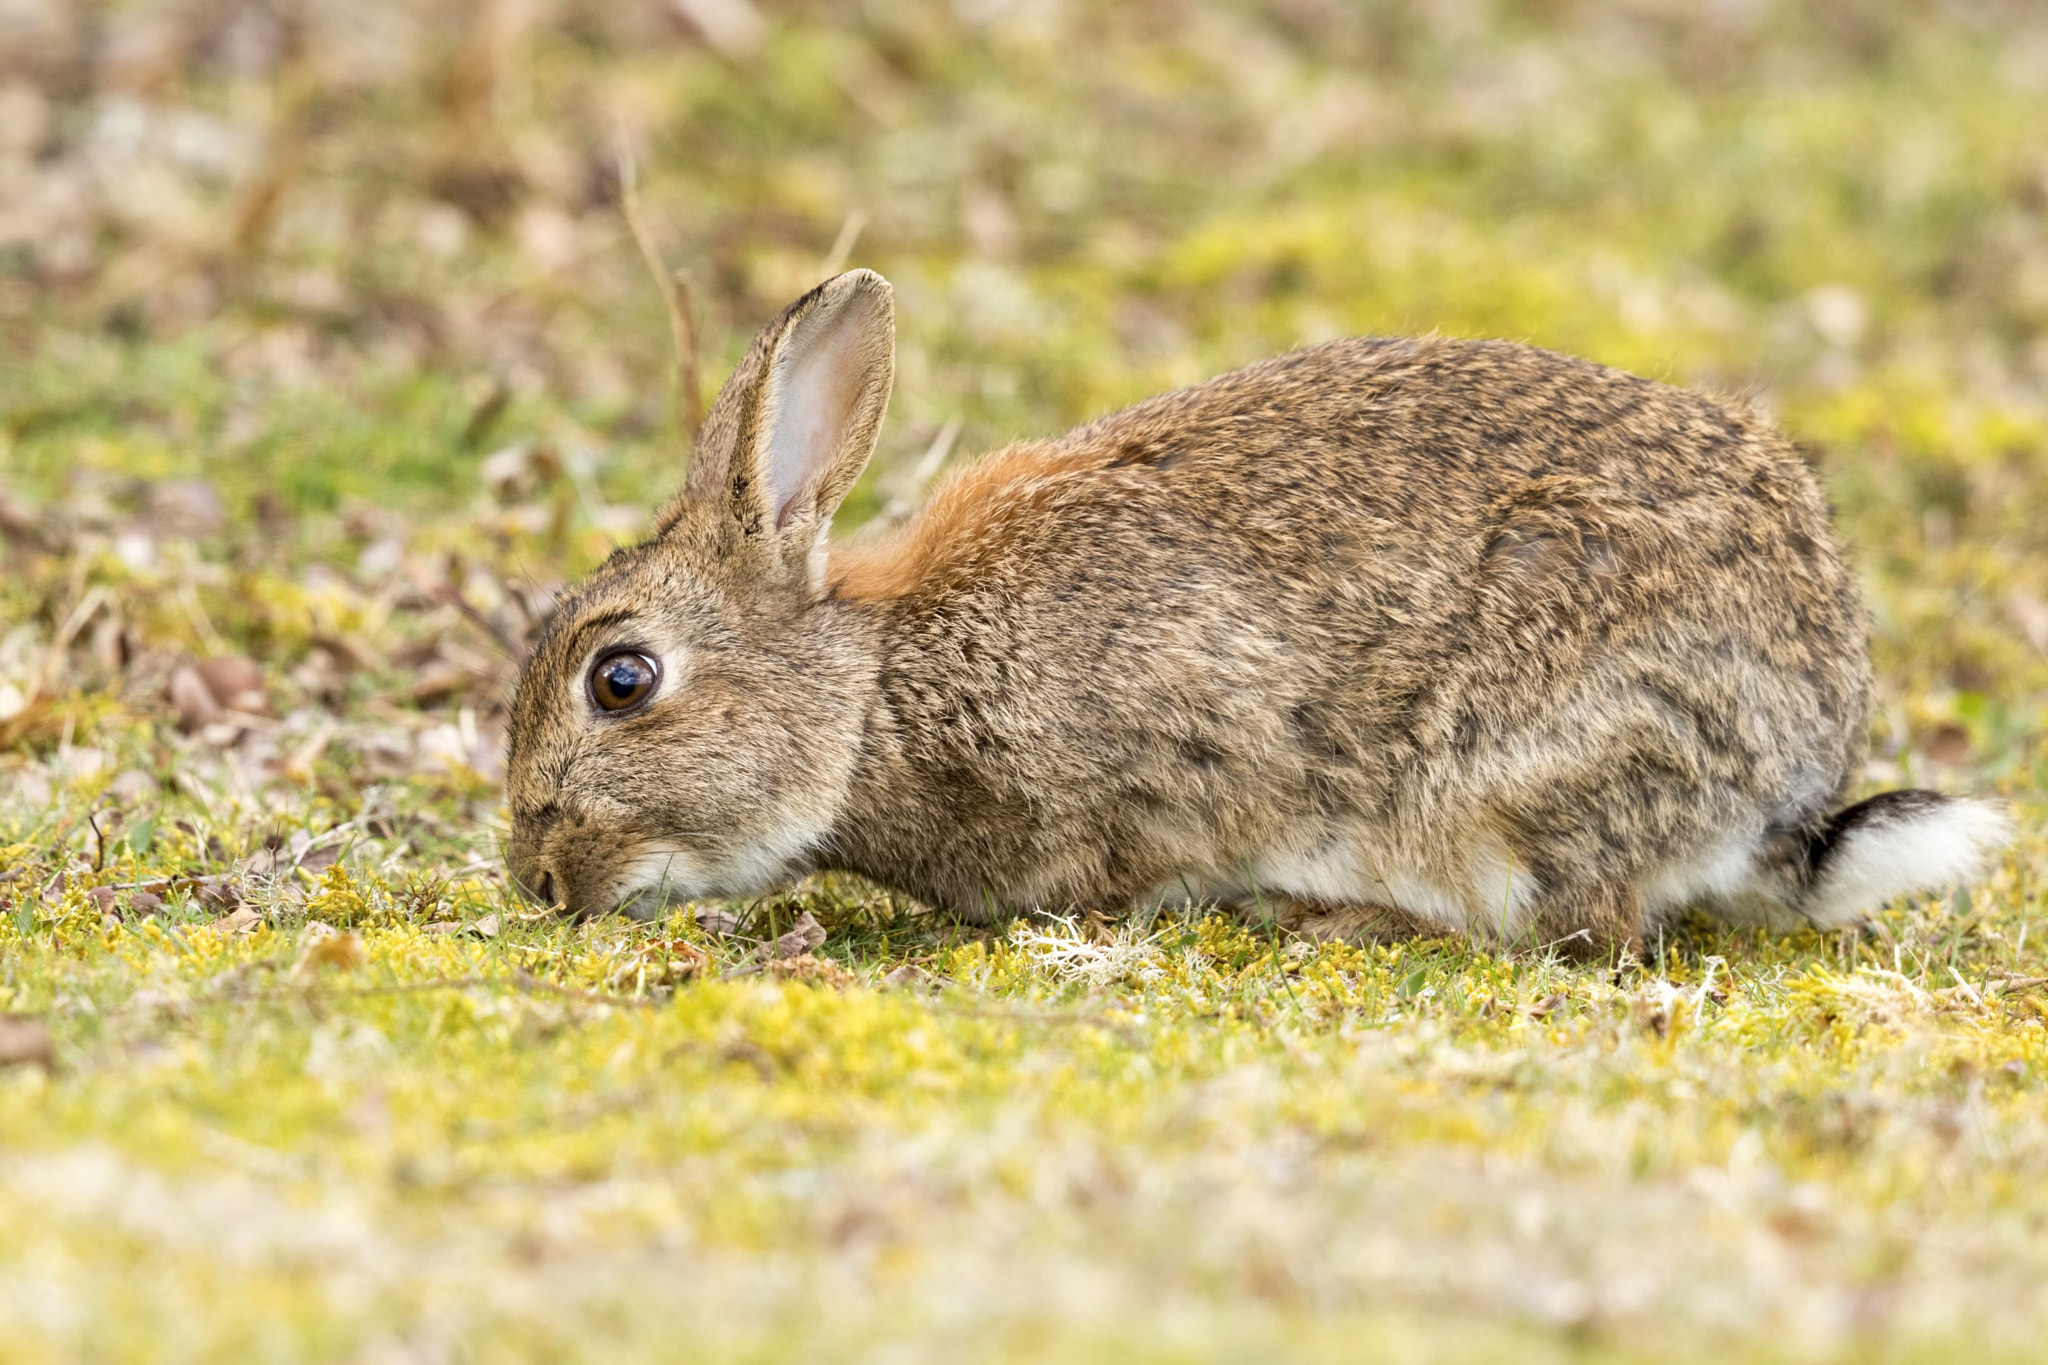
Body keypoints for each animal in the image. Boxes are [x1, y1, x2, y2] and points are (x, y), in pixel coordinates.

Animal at [504, 268, 2011, 958]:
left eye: (622, 680)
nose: (536, 881)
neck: (878, 691)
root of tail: (1787, 795)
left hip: (1518, 767)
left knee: (1585, 927)